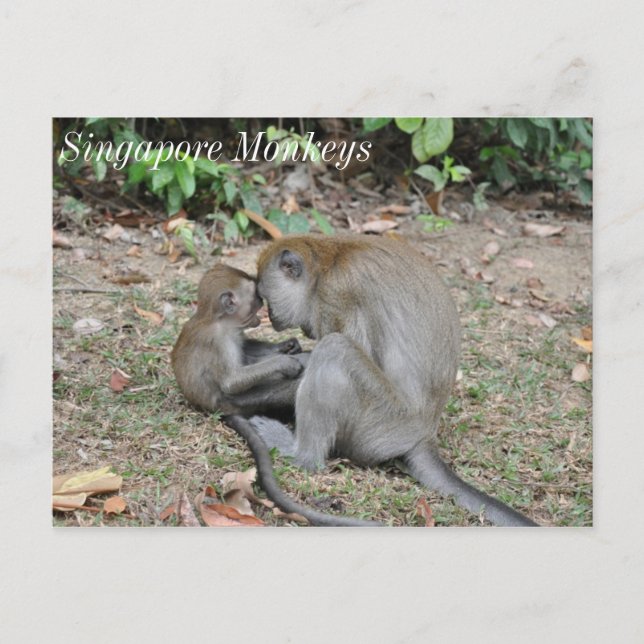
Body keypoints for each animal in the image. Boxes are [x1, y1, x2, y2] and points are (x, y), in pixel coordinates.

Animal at [171, 263, 380, 527]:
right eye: (255, 299)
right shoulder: (218, 341)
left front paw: (286, 346)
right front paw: (286, 362)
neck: (217, 319)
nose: (261, 310)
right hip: (239, 402)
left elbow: (246, 350)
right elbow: (231, 382)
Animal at [254, 235, 538, 527]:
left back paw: (301, 454)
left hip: (381, 423)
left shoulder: (338, 294)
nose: (270, 317)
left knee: (335, 349)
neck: (328, 262)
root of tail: (424, 433)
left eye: (266, 299)